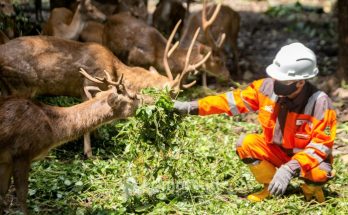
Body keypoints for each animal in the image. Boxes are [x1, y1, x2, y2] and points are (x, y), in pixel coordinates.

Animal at [0, 32, 208, 158]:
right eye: (172, 93)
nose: (175, 110)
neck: (115, 70)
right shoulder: (90, 82)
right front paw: (89, 153)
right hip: (21, 84)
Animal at [0, 69, 144, 214]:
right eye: (133, 96)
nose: (145, 100)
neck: (52, 129)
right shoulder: (22, 152)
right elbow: (22, 195)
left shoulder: (7, 160)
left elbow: (3, 191)